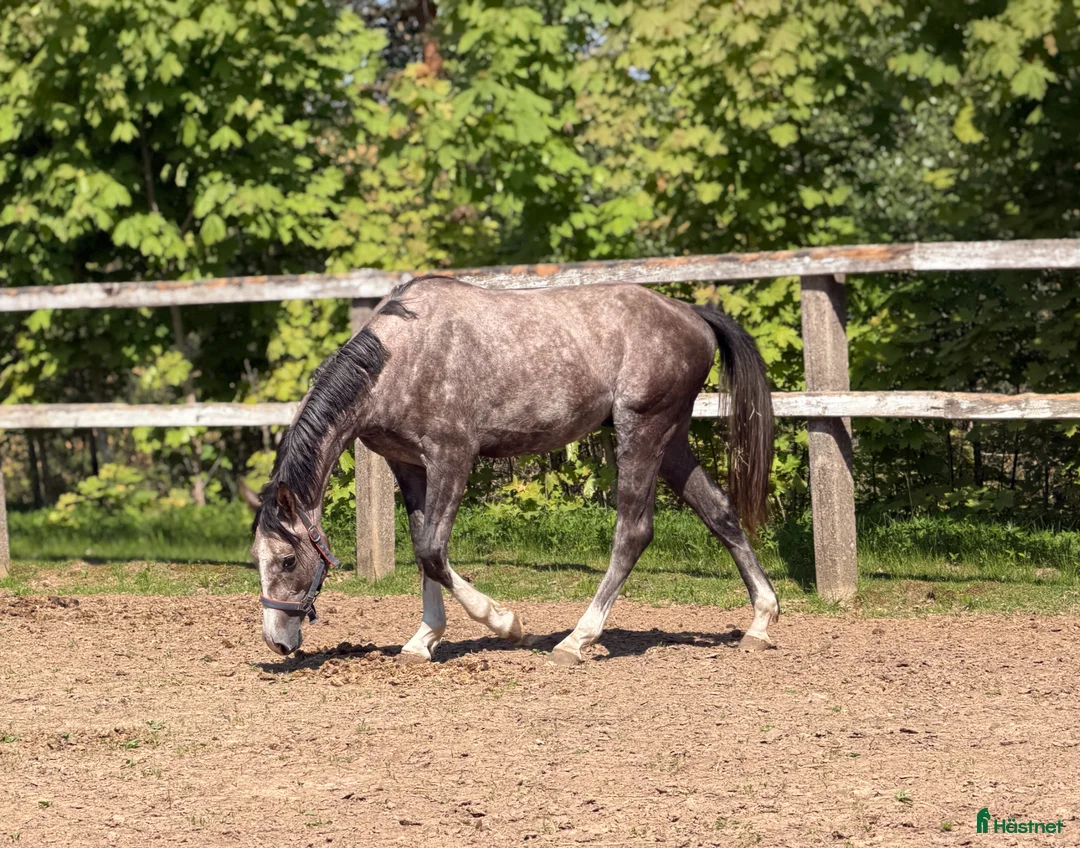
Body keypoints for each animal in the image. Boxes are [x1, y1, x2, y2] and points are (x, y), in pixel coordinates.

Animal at [252, 275, 779, 665]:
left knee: (633, 532)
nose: (277, 641)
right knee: (720, 512)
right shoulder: (408, 465)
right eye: (257, 557)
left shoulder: (452, 457)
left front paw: (507, 624)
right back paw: (759, 624)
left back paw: (576, 640)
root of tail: (691, 314)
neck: (399, 360)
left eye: (287, 560)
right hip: (672, 441)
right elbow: (423, 549)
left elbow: (432, 550)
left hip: (642, 431)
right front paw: (423, 640)